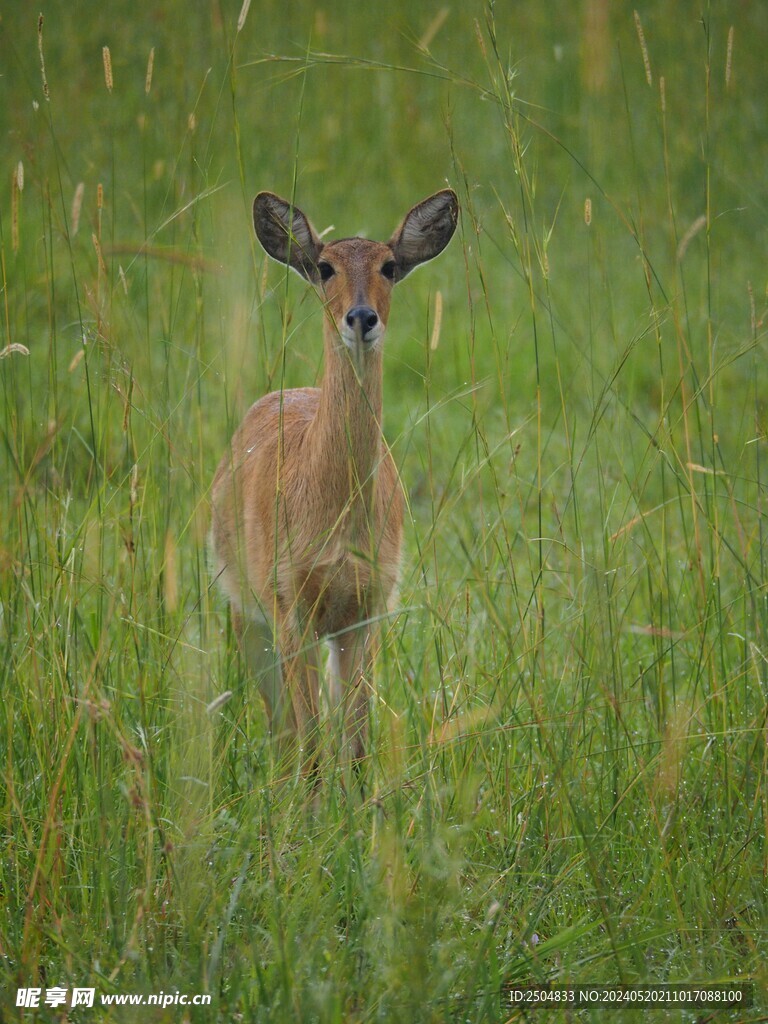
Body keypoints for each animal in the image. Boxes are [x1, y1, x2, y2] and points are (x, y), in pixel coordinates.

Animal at [210, 187, 458, 769]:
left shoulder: (366, 608)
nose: (361, 317)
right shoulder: (289, 606)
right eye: (324, 267)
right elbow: (313, 745)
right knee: (283, 734)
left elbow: (357, 743)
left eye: (389, 265)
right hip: (246, 615)